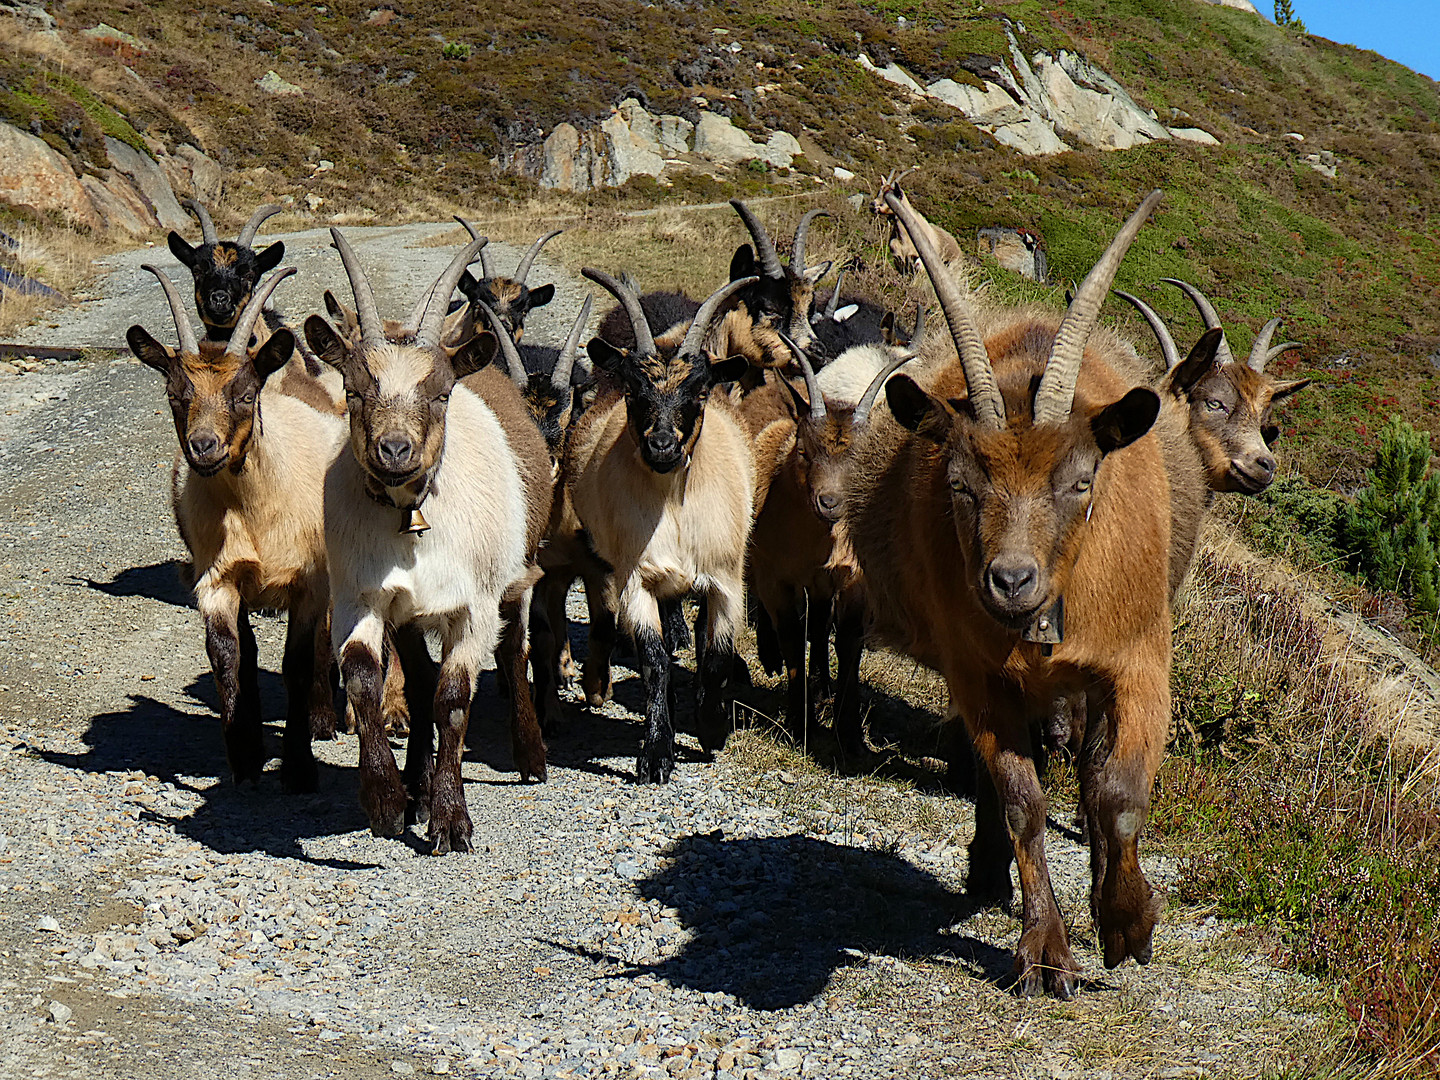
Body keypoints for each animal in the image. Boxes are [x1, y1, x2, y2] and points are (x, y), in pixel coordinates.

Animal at [126, 259, 339, 789]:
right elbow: (228, 656)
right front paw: (243, 755)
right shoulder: (217, 578)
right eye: (175, 394)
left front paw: (299, 769)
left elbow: (298, 662)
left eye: (243, 395)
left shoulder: (310, 582)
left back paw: (323, 721)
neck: (254, 512)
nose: (204, 447)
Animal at [303, 230, 550, 852]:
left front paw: (451, 821)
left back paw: (532, 757)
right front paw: (388, 802)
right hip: (410, 614)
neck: (411, 521)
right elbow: (367, 680)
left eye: (439, 394)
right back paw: (413, 784)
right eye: (354, 389)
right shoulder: (363, 598)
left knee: (514, 652)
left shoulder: (473, 607)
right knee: (414, 682)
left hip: (518, 574)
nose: (395, 450)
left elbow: (454, 698)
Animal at [564, 269, 760, 777]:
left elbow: (717, 657)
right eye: (635, 394)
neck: (674, 506)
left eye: (699, 392)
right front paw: (656, 752)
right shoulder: (636, 577)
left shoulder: (727, 579)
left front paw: (712, 731)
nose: (662, 446)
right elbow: (654, 660)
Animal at [840, 190, 1203, 1002]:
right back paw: (986, 873)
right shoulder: (978, 674)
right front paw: (1045, 951)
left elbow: (1118, 795)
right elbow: (1020, 801)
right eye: (958, 483)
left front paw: (1127, 924)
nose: (1010, 580)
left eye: (1081, 481)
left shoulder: (1139, 662)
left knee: (1095, 775)